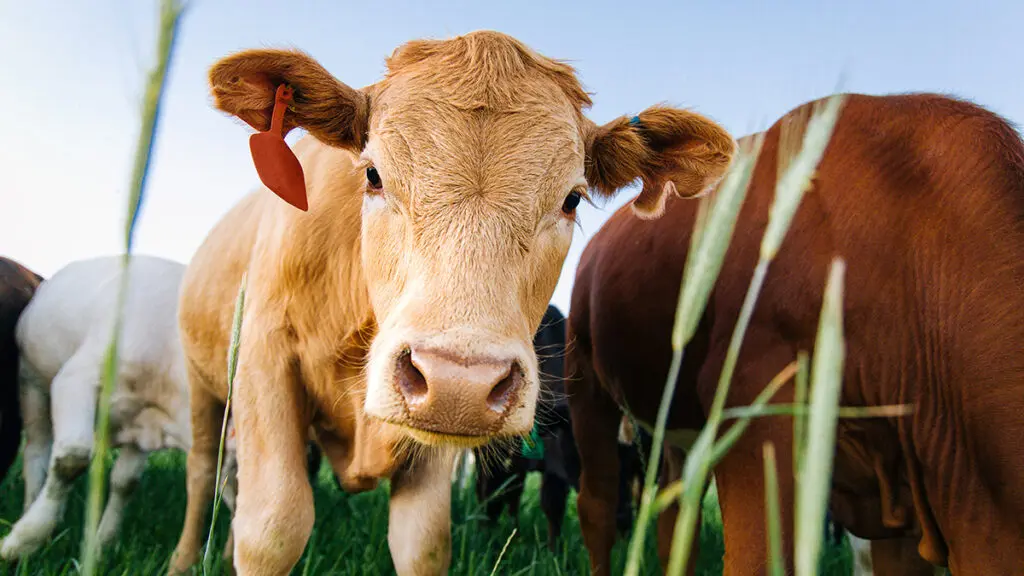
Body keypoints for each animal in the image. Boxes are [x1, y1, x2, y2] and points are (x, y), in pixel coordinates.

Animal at [0, 254, 193, 557]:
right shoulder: (75, 381)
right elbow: (71, 459)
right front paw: (25, 539)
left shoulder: (145, 426)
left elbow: (126, 482)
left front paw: (101, 544)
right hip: (31, 384)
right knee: (36, 453)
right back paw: (29, 508)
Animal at [167, 31, 733, 573]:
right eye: (372, 174)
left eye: (572, 199)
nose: (459, 382)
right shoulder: (265, 359)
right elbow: (272, 528)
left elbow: (423, 543)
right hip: (203, 386)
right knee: (202, 472)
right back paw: (185, 558)